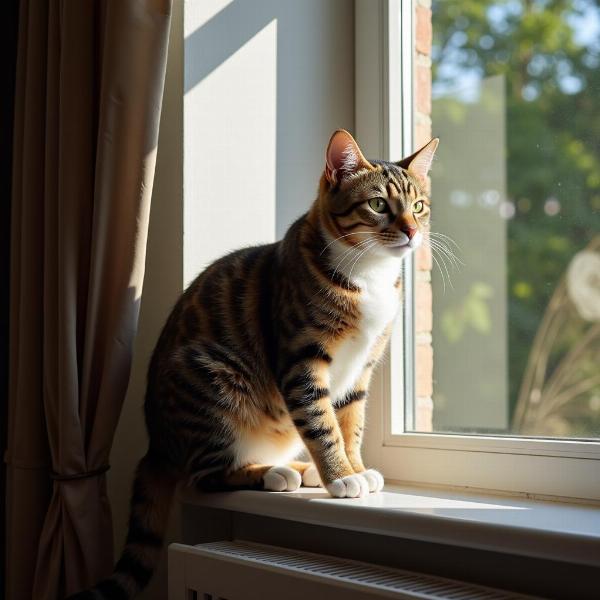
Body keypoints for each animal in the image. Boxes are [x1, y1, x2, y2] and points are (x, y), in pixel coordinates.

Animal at [72, 129, 438, 596]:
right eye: (378, 205)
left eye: (419, 206)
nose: (411, 231)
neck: (368, 275)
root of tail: (157, 443)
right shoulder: (301, 359)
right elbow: (322, 424)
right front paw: (341, 475)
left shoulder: (362, 367)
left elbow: (349, 423)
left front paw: (353, 466)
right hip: (209, 379)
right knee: (204, 475)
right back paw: (274, 474)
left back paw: (298, 467)